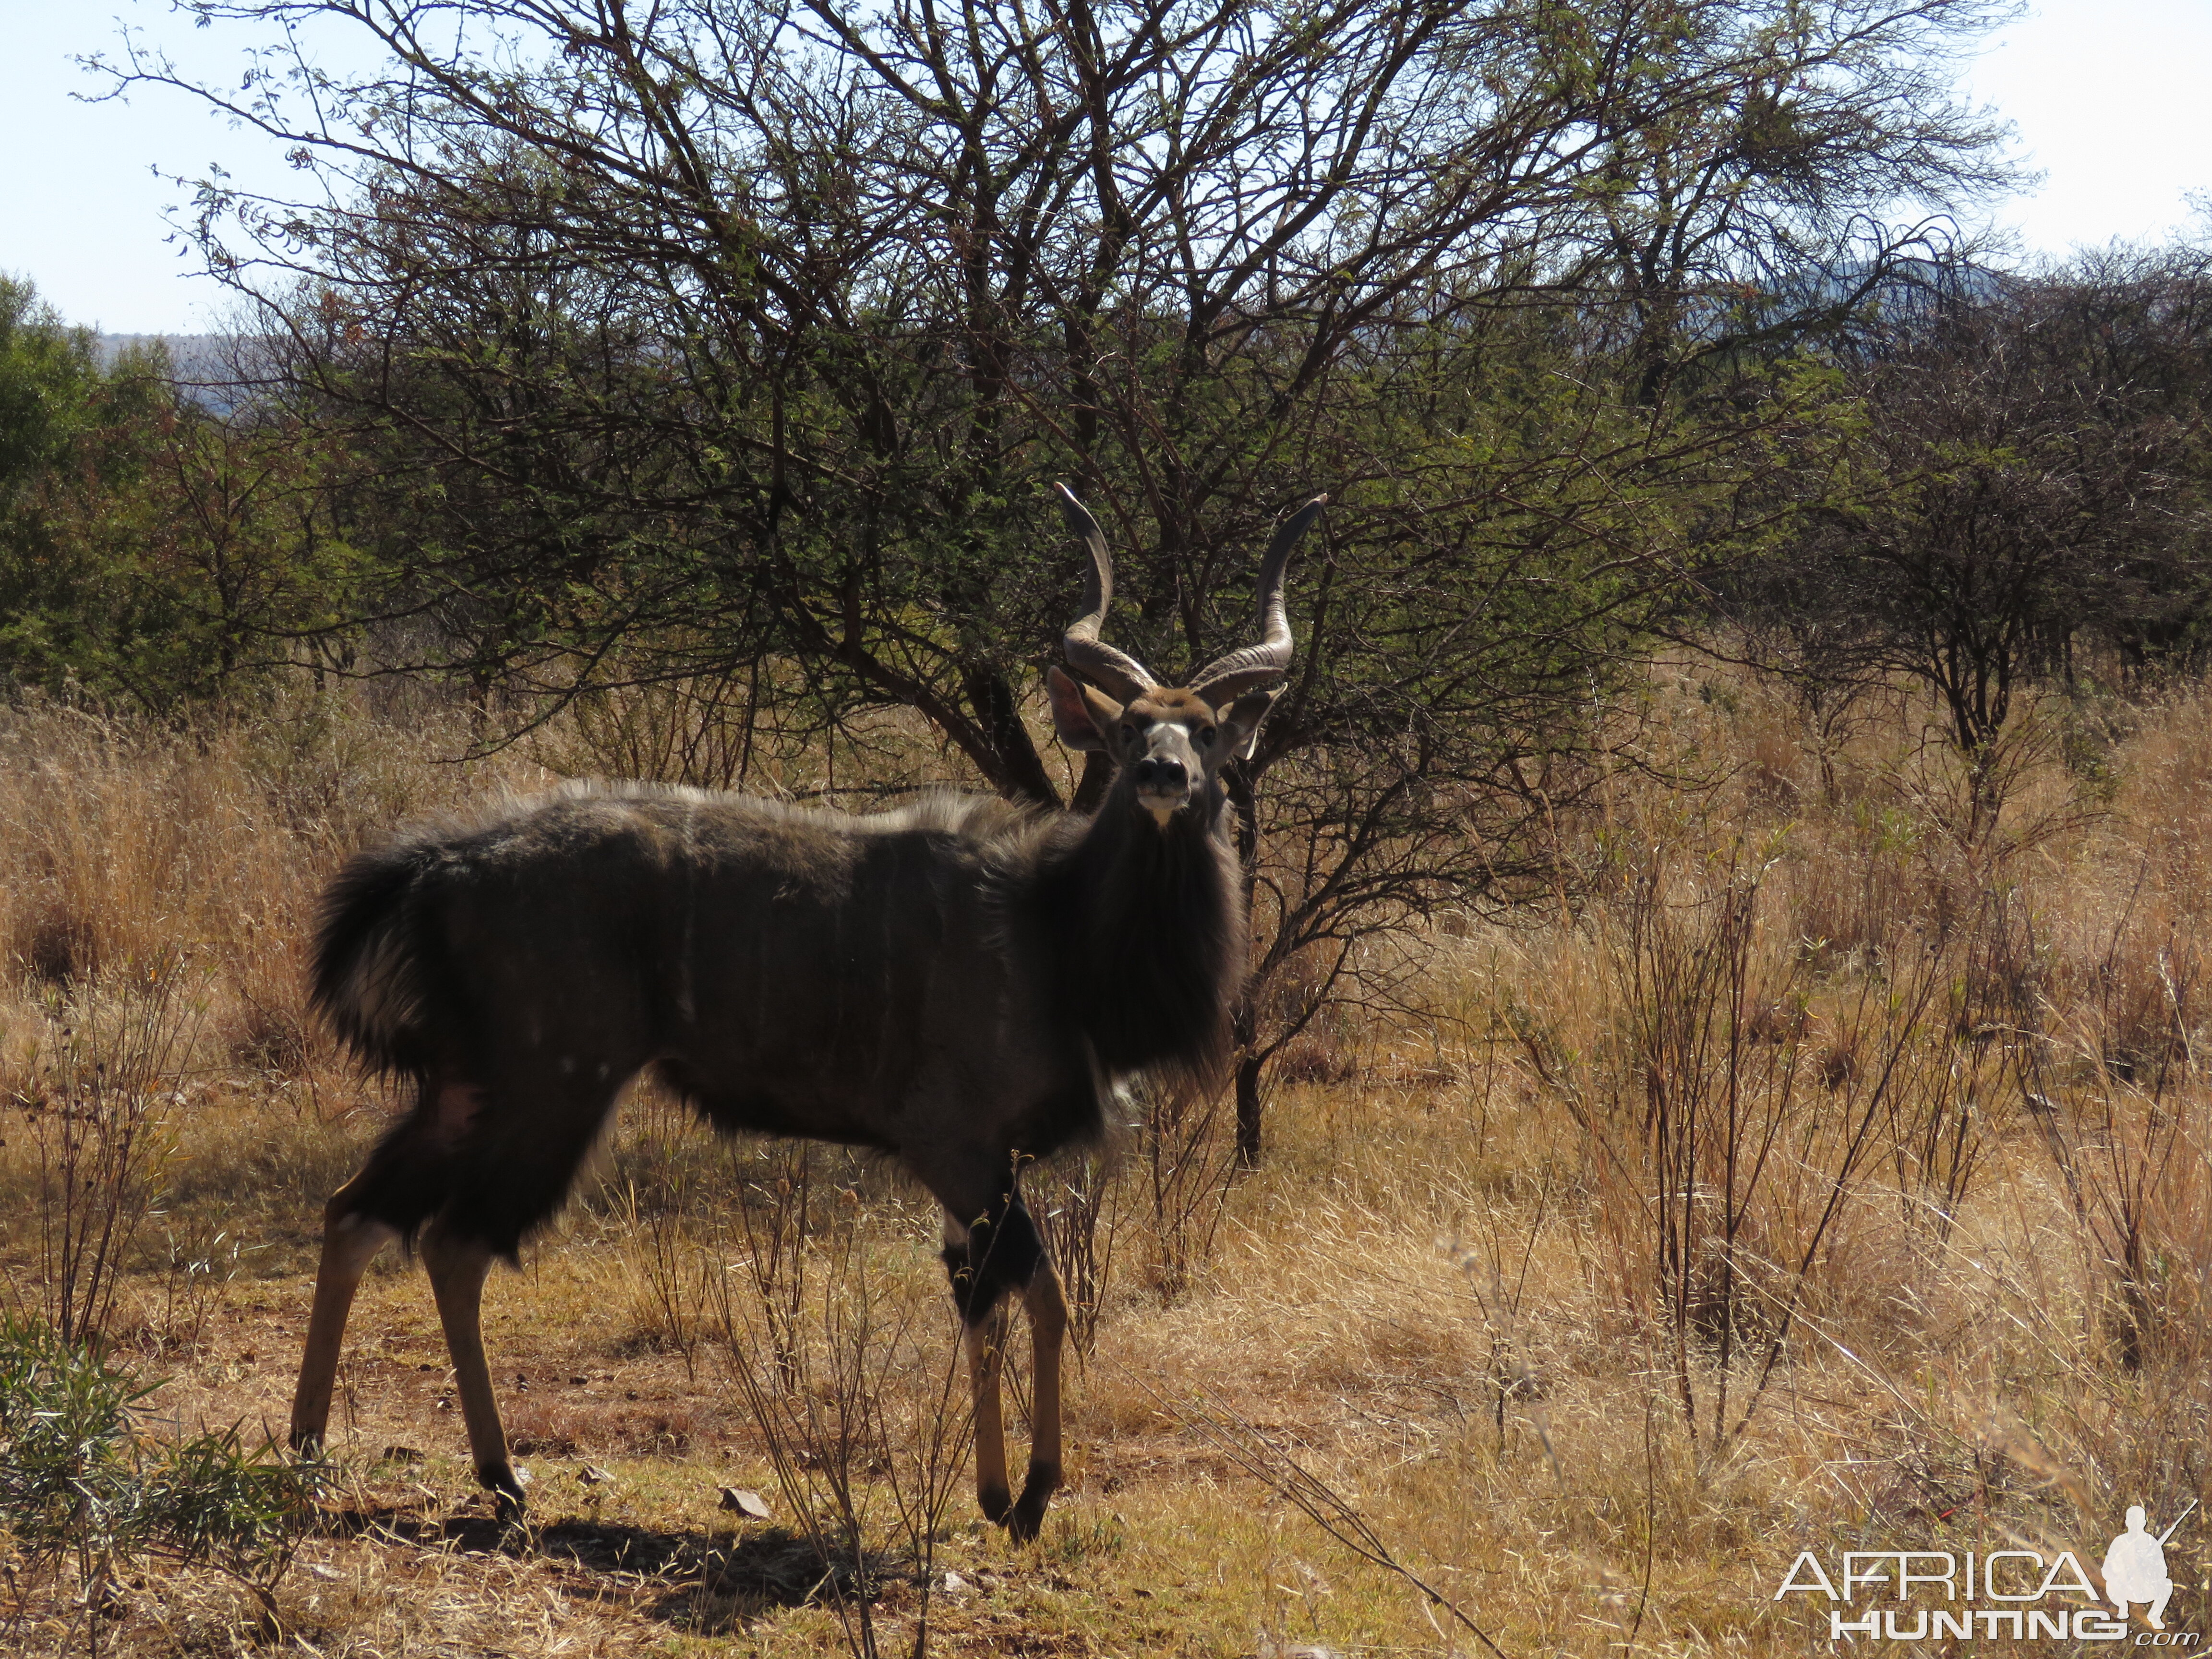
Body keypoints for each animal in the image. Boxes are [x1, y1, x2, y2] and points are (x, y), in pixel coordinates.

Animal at [294, 480, 1327, 1548]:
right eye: (1131, 733)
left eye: (1205, 730)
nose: (1163, 777)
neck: (1054, 928)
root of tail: (438, 867)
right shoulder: (954, 1144)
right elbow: (1039, 1293)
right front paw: (1031, 1494)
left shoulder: (979, 1167)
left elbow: (980, 1297)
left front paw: (994, 1491)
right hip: (553, 1087)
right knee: (453, 1240)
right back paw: (499, 1480)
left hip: (469, 1086)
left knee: (359, 1213)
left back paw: (312, 1457)